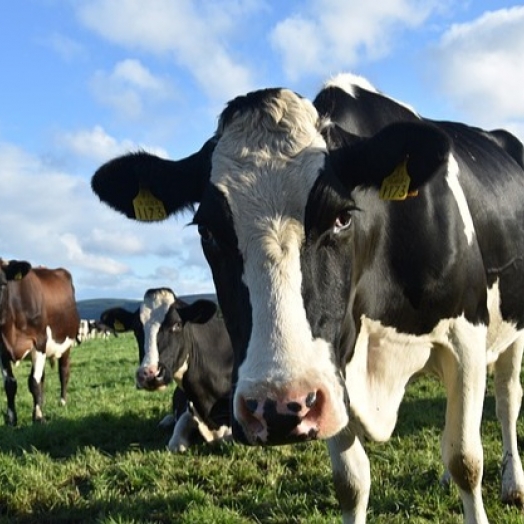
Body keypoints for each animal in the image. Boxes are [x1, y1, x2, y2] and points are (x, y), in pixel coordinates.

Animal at [0, 258, 80, 426]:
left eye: (2, 284)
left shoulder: (39, 343)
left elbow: (33, 382)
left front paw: (37, 417)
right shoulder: (2, 348)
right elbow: (10, 384)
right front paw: (11, 419)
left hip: (66, 344)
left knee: (63, 371)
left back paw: (62, 401)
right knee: (42, 377)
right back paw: (41, 403)